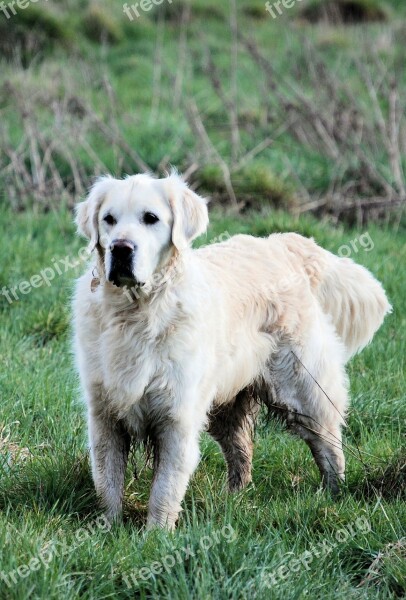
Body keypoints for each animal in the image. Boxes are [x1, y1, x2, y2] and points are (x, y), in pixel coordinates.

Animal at [72, 170, 390, 528]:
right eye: (108, 219)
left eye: (150, 218)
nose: (121, 248)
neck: (137, 312)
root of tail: (281, 244)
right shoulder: (104, 415)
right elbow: (108, 481)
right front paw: (108, 528)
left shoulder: (177, 417)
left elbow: (164, 488)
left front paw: (156, 533)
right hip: (227, 403)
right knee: (241, 451)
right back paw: (234, 498)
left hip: (305, 390)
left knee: (329, 445)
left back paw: (333, 496)